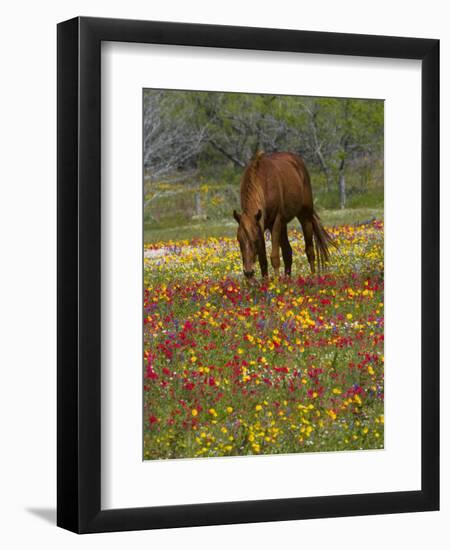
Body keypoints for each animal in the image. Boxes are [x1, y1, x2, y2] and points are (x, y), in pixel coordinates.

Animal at [232, 151, 334, 280]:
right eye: (239, 240)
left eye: (254, 241)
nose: (248, 272)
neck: (263, 182)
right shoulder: (260, 225)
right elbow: (263, 260)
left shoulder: (275, 222)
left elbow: (274, 257)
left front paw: (276, 282)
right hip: (283, 224)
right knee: (287, 252)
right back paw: (288, 279)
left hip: (305, 216)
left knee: (310, 250)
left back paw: (313, 277)